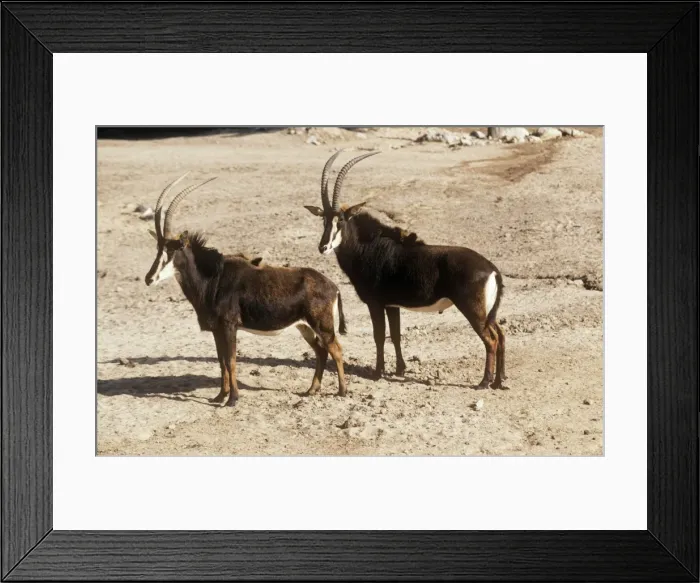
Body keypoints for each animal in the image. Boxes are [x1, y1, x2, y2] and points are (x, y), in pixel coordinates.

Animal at [145, 173, 348, 406]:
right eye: (158, 249)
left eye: (172, 251)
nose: (149, 279)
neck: (214, 277)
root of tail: (333, 286)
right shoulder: (217, 330)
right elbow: (221, 361)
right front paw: (219, 396)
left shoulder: (229, 326)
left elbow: (231, 361)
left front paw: (233, 399)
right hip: (304, 327)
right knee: (321, 351)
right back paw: (312, 389)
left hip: (322, 325)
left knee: (336, 350)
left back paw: (342, 390)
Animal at [304, 151, 506, 390]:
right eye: (324, 220)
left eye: (341, 221)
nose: (323, 247)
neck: (369, 247)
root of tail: (492, 269)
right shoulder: (392, 305)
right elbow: (396, 334)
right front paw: (400, 369)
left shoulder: (375, 303)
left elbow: (379, 336)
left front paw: (378, 372)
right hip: (487, 313)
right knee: (501, 335)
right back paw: (499, 380)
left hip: (474, 311)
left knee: (491, 340)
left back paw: (484, 382)